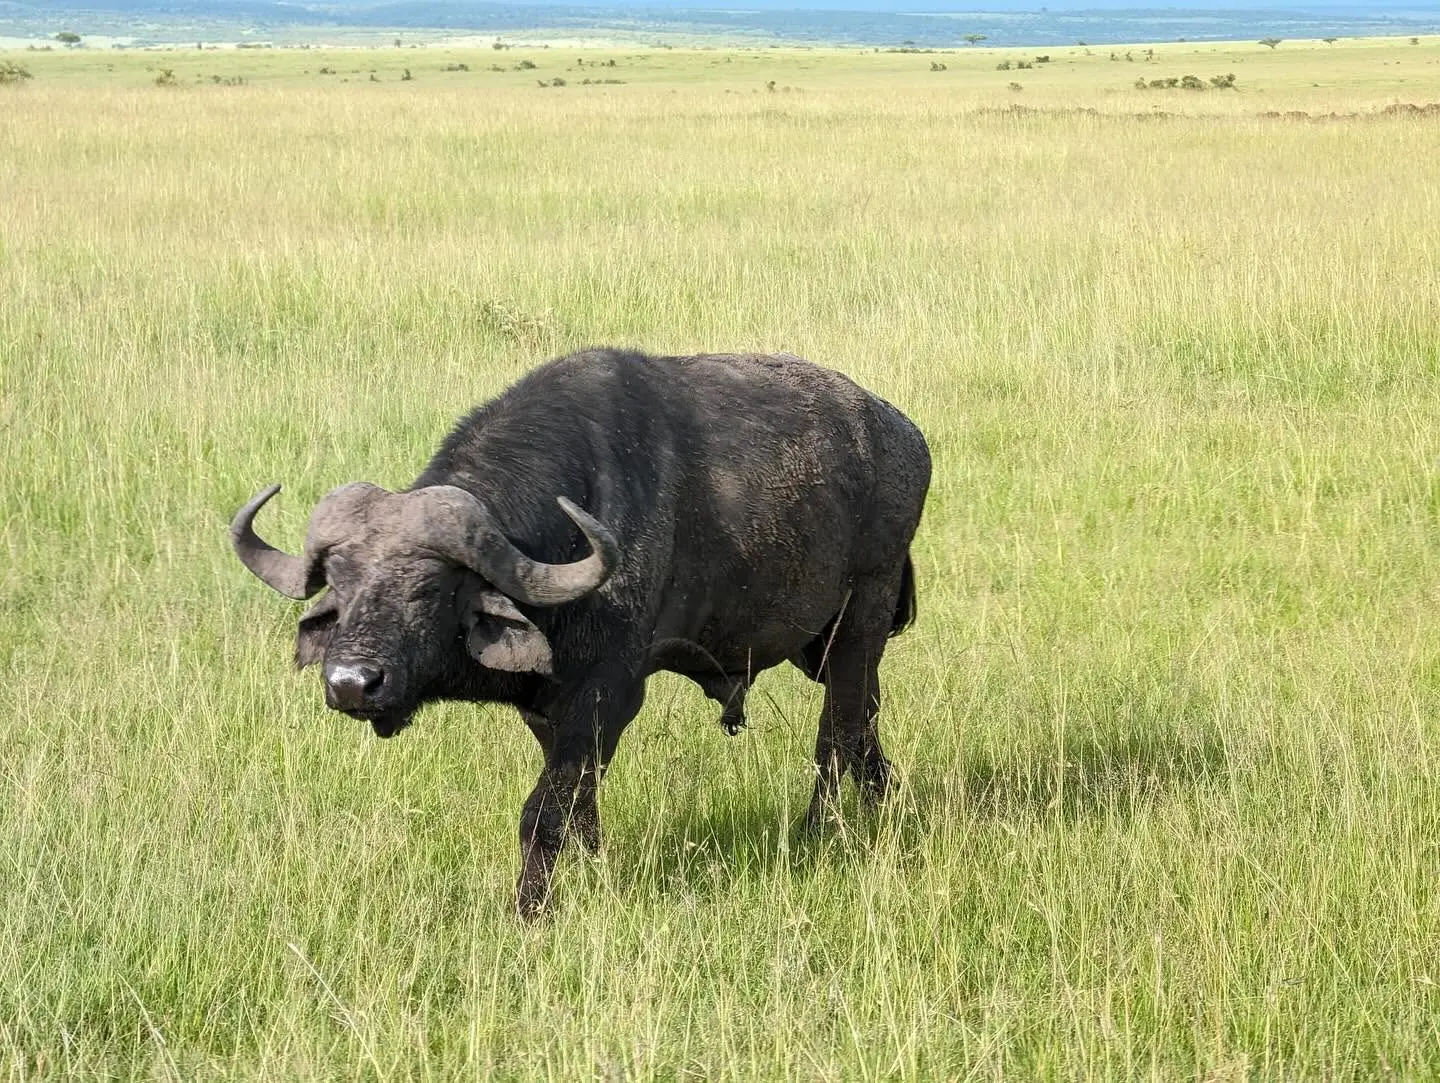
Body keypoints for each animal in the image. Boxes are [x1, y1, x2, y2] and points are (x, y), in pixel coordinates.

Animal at [232, 348, 930, 916]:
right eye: (340, 584)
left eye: (431, 590)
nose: (353, 683)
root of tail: (903, 435)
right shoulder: (550, 707)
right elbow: (581, 806)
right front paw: (595, 873)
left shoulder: (608, 695)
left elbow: (543, 812)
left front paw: (529, 911)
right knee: (864, 724)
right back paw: (889, 803)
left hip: (860, 617)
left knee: (839, 729)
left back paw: (821, 831)